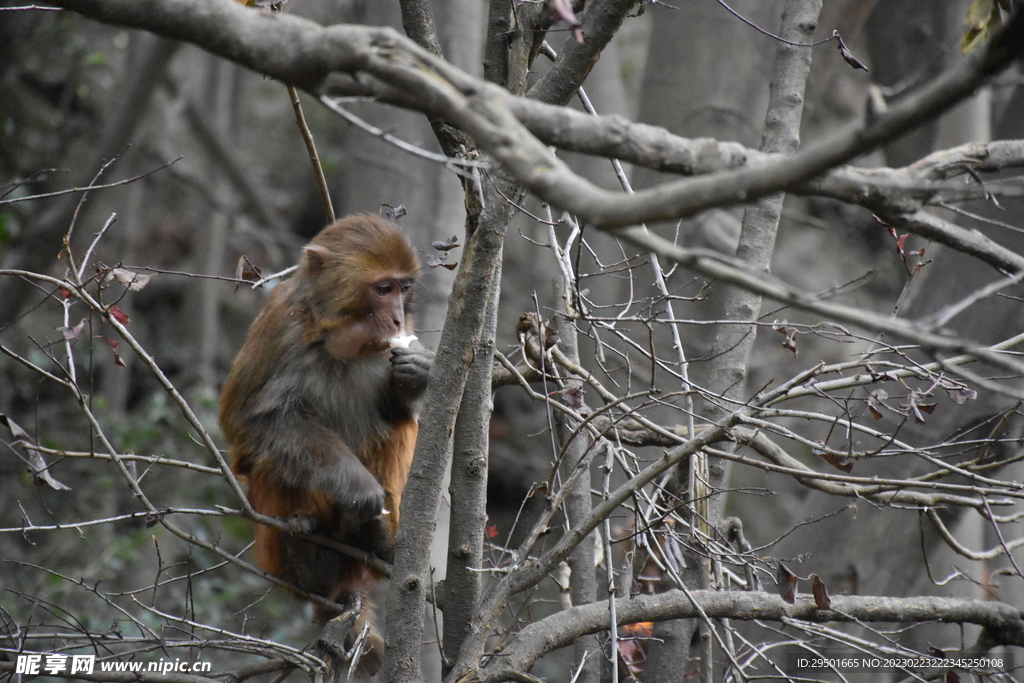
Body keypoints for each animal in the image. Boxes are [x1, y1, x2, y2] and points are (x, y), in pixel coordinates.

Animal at [220, 215, 432, 671]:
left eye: (404, 287)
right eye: (382, 288)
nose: (397, 320)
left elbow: (400, 407)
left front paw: (418, 372)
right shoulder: (282, 327)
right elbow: (253, 423)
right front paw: (358, 488)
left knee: (400, 425)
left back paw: (376, 540)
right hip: (271, 547)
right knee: (273, 454)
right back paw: (308, 550)